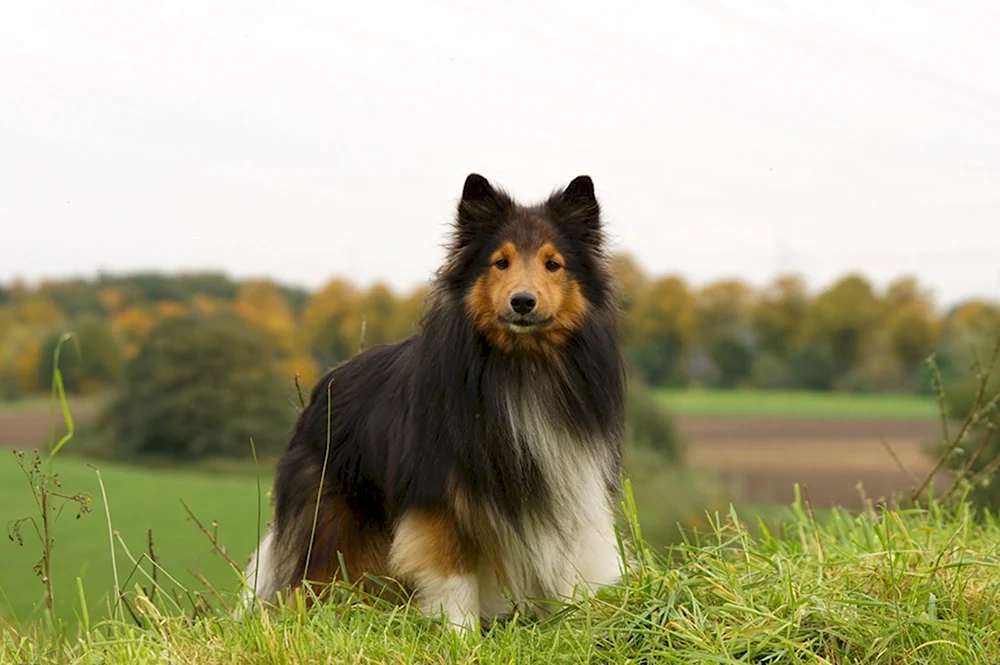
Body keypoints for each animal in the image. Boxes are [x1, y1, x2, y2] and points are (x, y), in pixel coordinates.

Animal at [241, 174, 624, 632]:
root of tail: (324, 386)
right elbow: (454, 574)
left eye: (553, 264)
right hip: (330, 520)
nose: (522, 302)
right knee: (312, 579)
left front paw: (574, 623)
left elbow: (570, 569)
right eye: (501, 262)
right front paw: (462, 634)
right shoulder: (438, 496)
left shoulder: (569, 477)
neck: (521, 366)